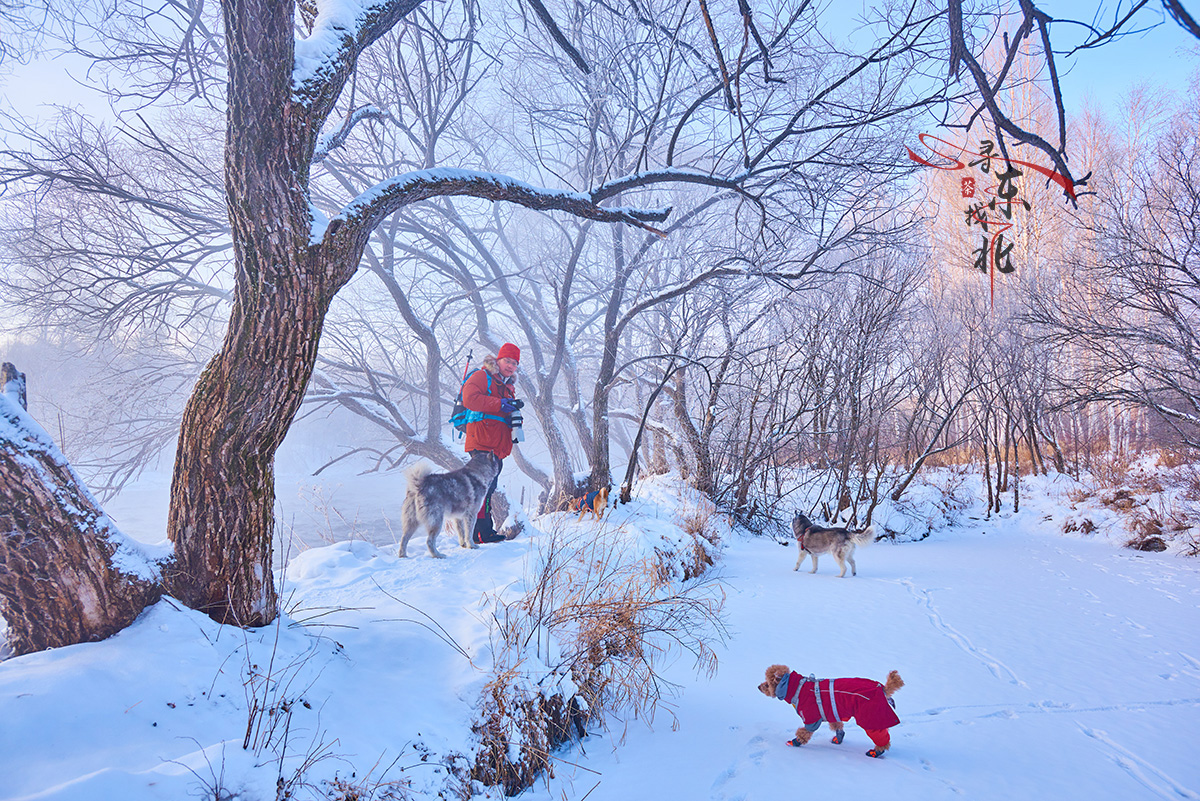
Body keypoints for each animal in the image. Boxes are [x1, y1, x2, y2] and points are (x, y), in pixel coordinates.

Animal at [758, 661, 902, 757]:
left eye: (767, 684)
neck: (796, 688)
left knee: (881, 737)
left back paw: (876, 752)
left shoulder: (811, 718)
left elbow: (804, 732)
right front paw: (839, 738)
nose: (758, 687)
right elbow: (838, 726)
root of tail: (883, 688)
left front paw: (794, 742)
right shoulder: (832, 712)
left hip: (870, 718)